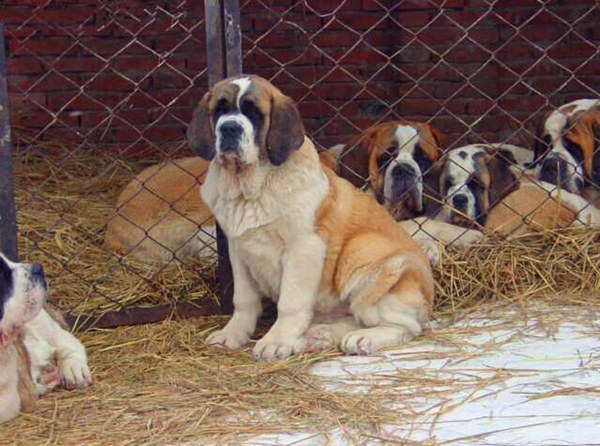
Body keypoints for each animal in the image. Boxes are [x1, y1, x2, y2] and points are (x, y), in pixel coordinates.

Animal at [185, 76, 434, 362]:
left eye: (254, 113)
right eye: (219, 109)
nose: (229, 128)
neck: (250, 187)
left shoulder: (304, 247)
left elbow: (290, 302)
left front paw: (276, 341)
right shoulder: (239, 248)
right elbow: (244, 299)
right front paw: (232, 334)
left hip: (363, 251)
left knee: (408, 326)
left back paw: (363, 338)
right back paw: (320, 336)